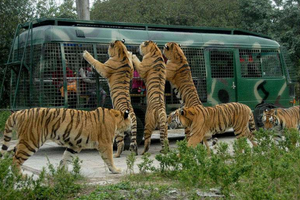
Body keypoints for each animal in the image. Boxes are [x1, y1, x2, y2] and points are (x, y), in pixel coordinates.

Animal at [0, 107, 131, 174]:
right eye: (131, 122)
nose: (130, 131)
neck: (116, 118)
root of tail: (18, 112)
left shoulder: (74, 146)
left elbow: (65, 158)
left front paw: (61, 173)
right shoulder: (106, 144)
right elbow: (109, 158)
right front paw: (115, 170)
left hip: (24, 142)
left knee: (10, 154)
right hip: (31, 142)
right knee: (15, 161)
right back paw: (22, 178)